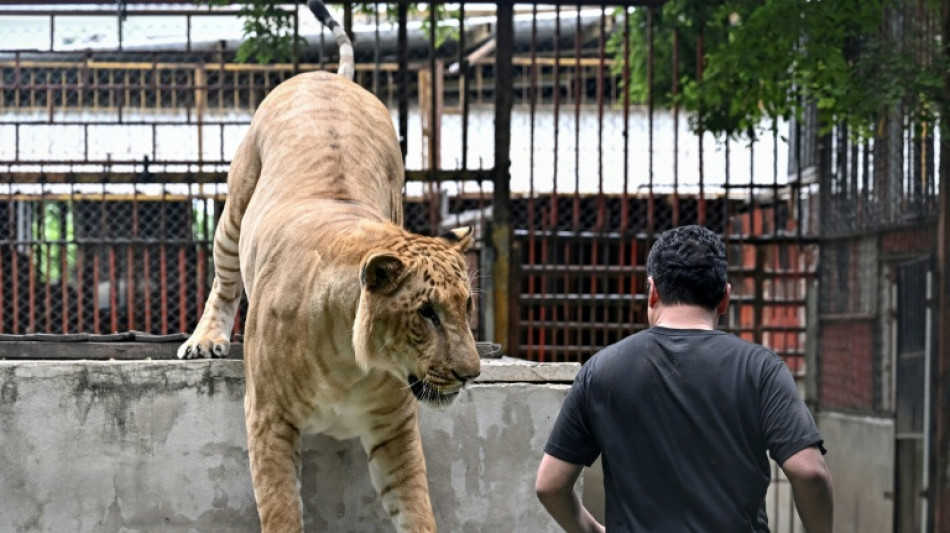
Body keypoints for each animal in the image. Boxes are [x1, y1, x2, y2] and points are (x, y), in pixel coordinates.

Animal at [178, 2, 481, 531]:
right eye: (426, 313)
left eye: (466, 307)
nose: (471, 375)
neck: (351, 363)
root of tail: (329, 76)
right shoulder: (267, 419)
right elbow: (281, 512)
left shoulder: (396, 429)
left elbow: (417, 509)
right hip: (234, 209)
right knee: (225, 280)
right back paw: (205, 340)